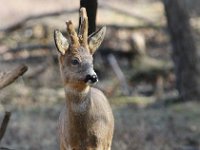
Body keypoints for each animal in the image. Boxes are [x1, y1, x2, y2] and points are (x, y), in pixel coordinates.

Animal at [54, 7, 114, 150]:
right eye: (75, 61)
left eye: (92, 60)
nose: (92, 76)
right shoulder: (67, 145)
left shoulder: (100, 144)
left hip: (109, 142)